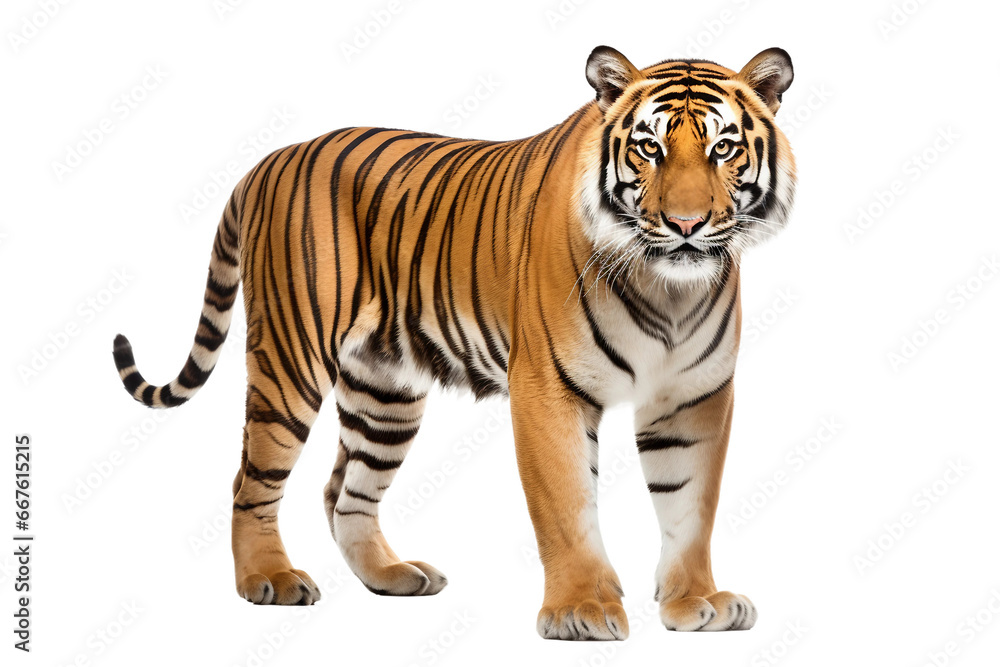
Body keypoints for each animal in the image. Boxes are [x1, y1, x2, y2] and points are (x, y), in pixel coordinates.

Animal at [112, 45, 795, 640]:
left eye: (723, 148)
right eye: (649, 148)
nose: (686, 225)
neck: (668, 291)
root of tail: (270, 160)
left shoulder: (693, 398)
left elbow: (690, 506)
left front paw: (696, 602)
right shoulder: (549, 390)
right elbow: (567, 505)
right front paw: (580, 612)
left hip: (384, 390)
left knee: (345, 493)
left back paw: (392, 576)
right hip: (290, 361)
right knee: (249, 483)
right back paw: (269, 579)